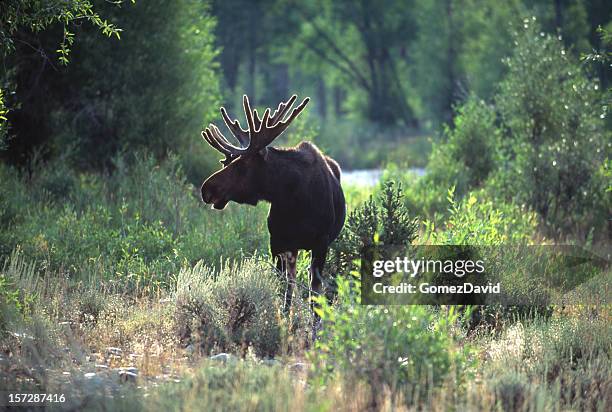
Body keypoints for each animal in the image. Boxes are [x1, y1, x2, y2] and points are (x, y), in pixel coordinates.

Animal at [200, 93, 344, 312]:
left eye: (241, 164)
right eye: (229, 162)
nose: (206, 189)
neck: (292, 198)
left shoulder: (321, 242)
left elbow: (315, 294)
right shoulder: (277, 242)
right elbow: (283, 289)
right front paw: (284, 318)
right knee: (292, 281)